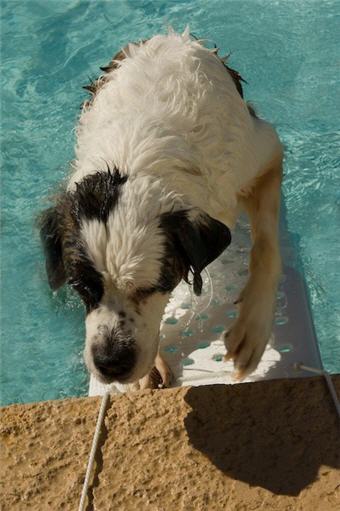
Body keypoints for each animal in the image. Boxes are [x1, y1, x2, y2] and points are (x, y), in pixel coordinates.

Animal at [39, 28, 282, 390]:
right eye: (82, 287)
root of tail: (169, 35)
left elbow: (266, 247)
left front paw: (251, 329)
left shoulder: (260, 155)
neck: (133, 161)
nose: (110, 363)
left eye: (152, 287)